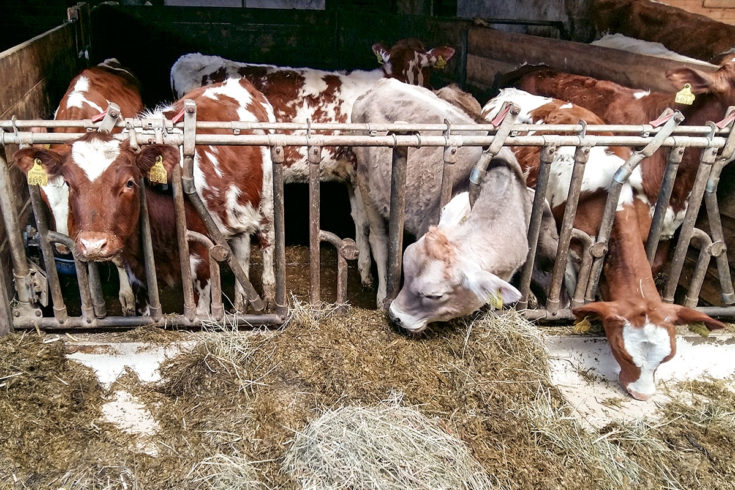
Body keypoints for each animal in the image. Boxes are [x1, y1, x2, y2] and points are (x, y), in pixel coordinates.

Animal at [170, 41, 454, 290]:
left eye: (422, 63)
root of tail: (190, 59)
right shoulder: (361, 176)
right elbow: (372, 231)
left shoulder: (350, 176)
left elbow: (359, 222)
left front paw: (363, 272)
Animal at [484, 89, 724, 402]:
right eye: (622, 351)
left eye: (669, 355)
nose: (642, 395)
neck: (613, 200)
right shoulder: (570, 244)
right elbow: (569, 290)